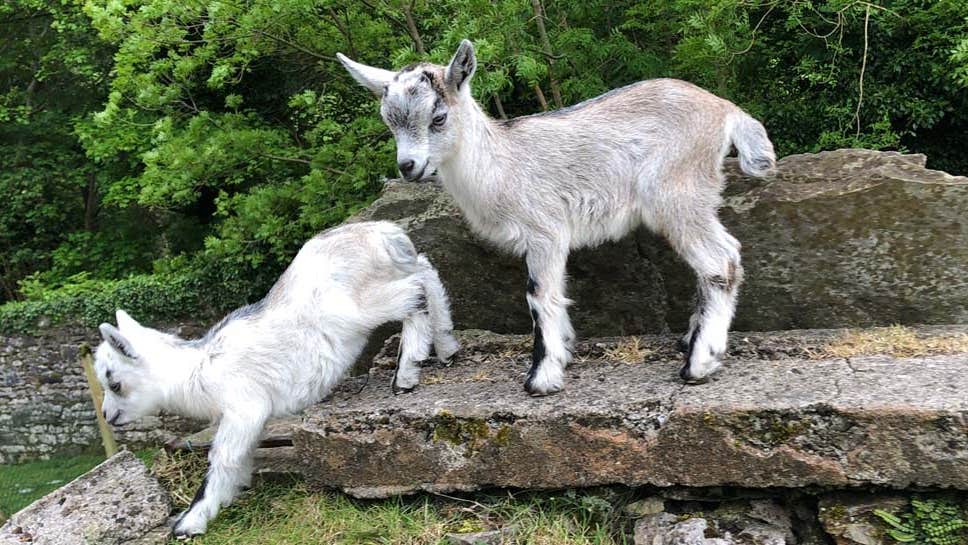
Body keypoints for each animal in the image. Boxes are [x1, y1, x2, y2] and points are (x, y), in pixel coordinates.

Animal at [93, 221, 458, 537]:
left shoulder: (244, 408)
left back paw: (407, 371)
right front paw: (229, 496)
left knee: (415, 290)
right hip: (391, 274)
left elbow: (222, 459)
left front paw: (190, 522)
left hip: (358, 307)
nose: (109, 416)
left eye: (114, 382)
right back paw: (446, 346)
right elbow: (239, 460)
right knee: (426, 270)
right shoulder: (248, 420)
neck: (198, 369)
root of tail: (384, 233)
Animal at [338, 40, 775, 395]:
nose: (408, 167)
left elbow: (538, 295)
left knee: (720, 260)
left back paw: (699, 364)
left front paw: (542, 379)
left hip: (677, 190)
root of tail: (725, 110)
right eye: (389, 121)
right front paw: (563, 352)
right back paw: (691, 340)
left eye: (439, 117)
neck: (501, 163)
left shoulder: (544, 229)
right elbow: (556, 292)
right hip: (694, 195)